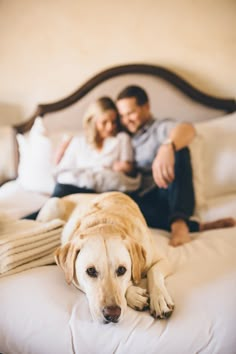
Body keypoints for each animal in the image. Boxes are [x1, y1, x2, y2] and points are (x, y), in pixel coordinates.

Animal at [37, 191, 174, 324]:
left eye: (122, 270)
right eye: (91, 271)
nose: (112, 314)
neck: (105, 222)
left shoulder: (163, 259)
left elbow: (154, 271)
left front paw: (160, 298)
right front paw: (134, 295)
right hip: (54, 204)